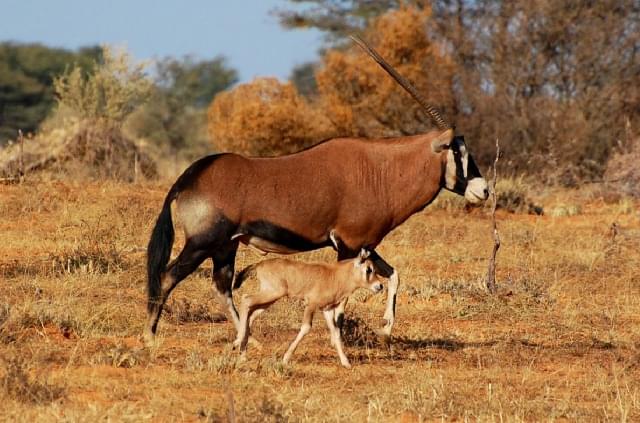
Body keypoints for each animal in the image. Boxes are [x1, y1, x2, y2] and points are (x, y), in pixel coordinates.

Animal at [236, 252, 382, 368]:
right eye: (368, 269)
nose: (379, 286)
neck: (336, 275)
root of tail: (260, 264)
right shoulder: (311, 305)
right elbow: (306, 328)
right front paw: (285, 358)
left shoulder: (327, 310)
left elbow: (335, 331)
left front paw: (346, 363)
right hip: (272, 293)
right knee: (245, 300)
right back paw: (239, 347)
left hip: (269, 299)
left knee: (251, 313)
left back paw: (242, 351)